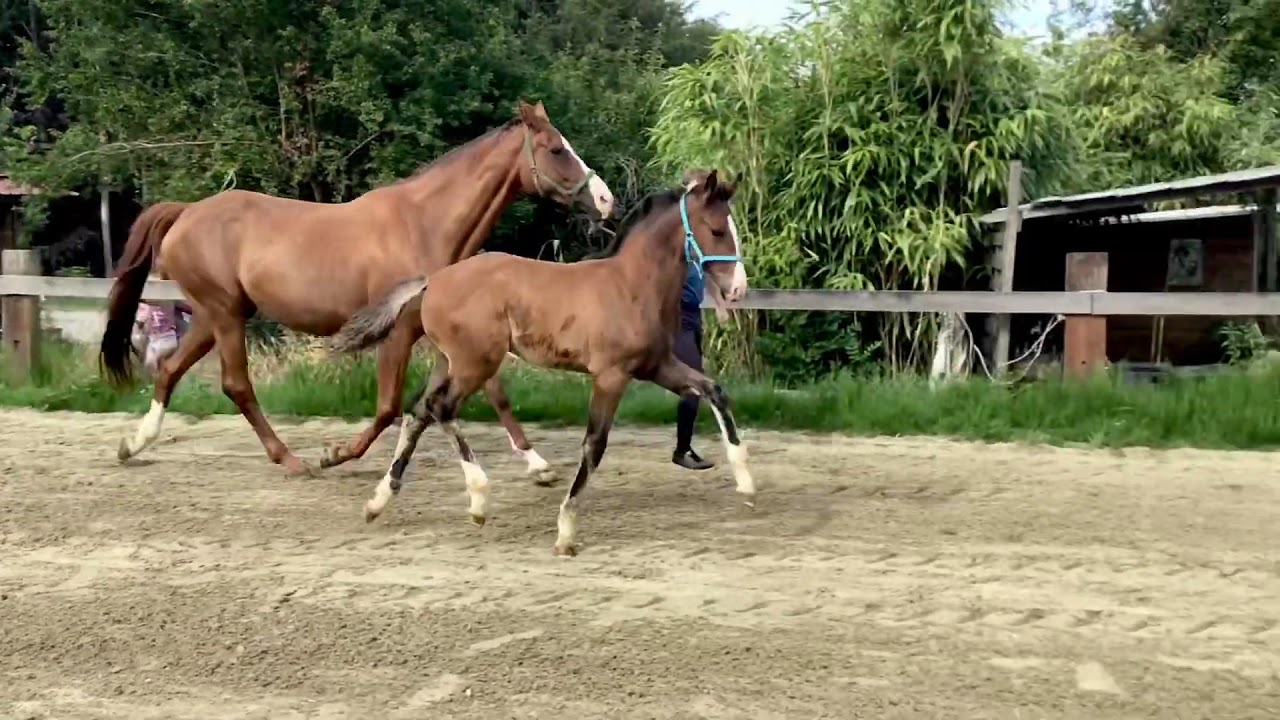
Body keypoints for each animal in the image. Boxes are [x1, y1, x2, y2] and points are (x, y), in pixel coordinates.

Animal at [98, 100, 616, 479]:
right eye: (556, 149)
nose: (606, 200)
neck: (422, 224)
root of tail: (185, 212)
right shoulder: (400, 331)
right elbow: (388, 406)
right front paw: (335, 455)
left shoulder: (454, 331)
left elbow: (495, 390)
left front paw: (537, 463)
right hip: (223, 314)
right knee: (235, 385)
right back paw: (293, 460)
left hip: (214, 314)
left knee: (169, 370)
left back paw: (132, 444)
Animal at [329, 169, 752, 557]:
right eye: (717, 230)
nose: (738, 289)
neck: (631, 286)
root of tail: (433, 280)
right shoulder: (611, 376)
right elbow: (594, 444)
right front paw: (566, 531)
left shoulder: (657, 366)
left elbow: (715, 390)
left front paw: (746, 483)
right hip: (475, 364)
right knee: (440, 408)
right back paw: (478, 500)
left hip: (449, 362)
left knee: (419, 412)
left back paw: (378, 501)